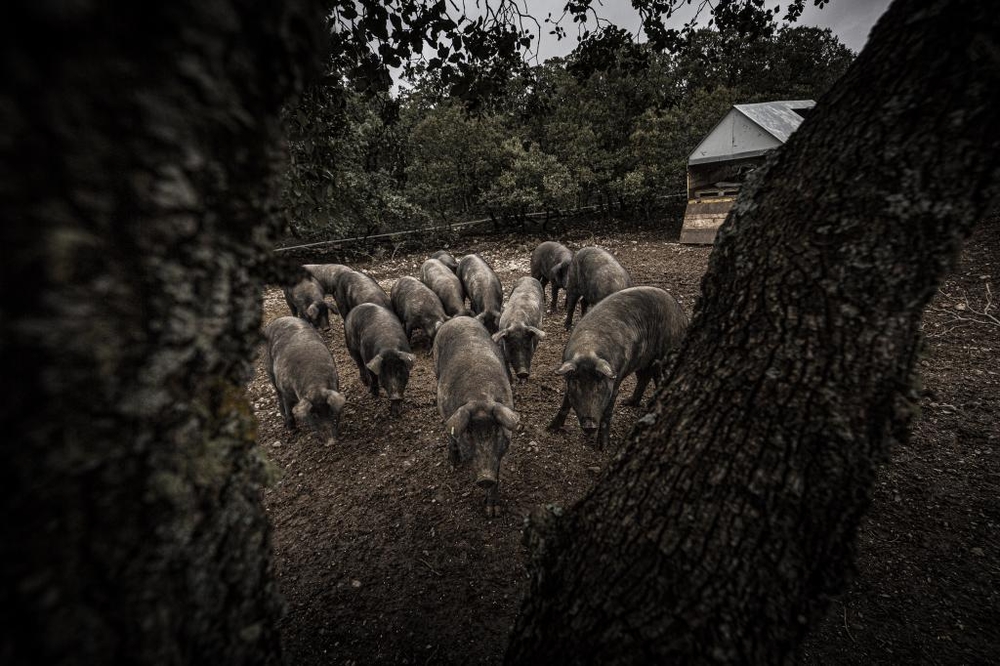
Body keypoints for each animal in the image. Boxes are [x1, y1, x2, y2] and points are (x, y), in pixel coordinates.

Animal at [266, 314, 348, 444]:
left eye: (330, 411)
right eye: (314, 415)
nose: (331, 442)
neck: (315, 386)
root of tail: (281, 318)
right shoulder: (286, 390)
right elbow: (288, 408)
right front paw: (293, 430)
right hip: (269, 370)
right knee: (278, 394)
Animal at [434, 314, 520, 516]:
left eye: (496, 431)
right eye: (469, 434)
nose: (485, 478)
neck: (480, 397)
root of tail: (457, 318)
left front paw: (493, 512)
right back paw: (453, 465)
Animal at [548, 282, 688, 448]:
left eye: (600, 385)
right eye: (576, 383)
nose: (590, 424)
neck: (587, 350)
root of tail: (683, 317)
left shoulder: (615, 382)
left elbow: (607, 413)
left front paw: (602, 447)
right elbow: (565, 403)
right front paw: (550, 428)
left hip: (667, 354)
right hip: (644, 362)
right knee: (645, 378)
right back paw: (628, 402)